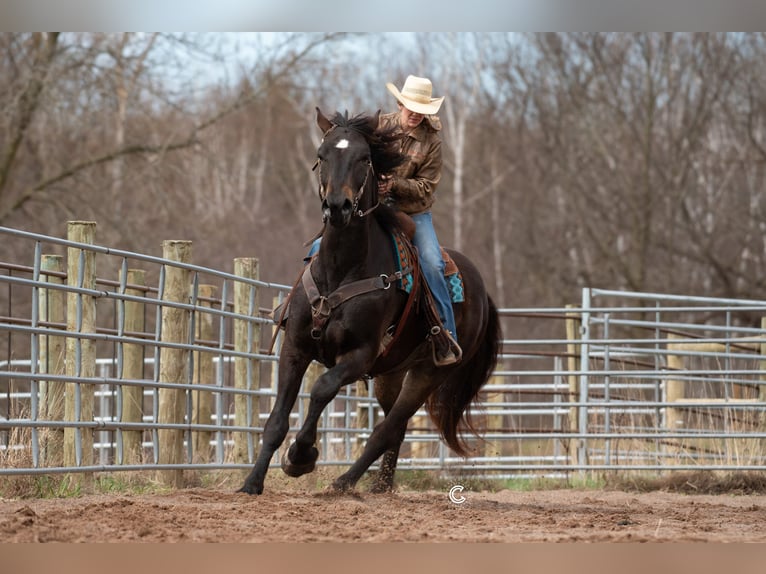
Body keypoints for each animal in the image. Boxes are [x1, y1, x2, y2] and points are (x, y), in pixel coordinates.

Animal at [240, 110, 504, 498]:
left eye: (364, 158)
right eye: (321, 155)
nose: (338, 206)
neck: (341, 269)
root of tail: (482, 293)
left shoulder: (360, 355)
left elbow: (322, 389)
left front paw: (301, 456)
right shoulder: (295, 347)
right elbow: (276, 420)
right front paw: (252, 482)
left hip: (429, 373)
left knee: (387, 428)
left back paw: (344, 482)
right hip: (391, 373)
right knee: (395, 428)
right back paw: (381, 487)